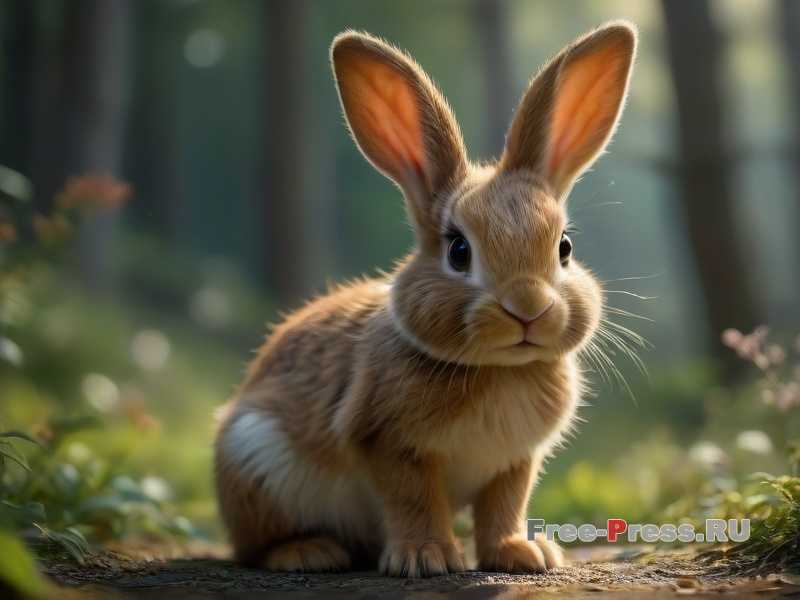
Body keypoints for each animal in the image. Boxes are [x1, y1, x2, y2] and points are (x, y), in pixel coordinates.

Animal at [214, 21, 637, 577]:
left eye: (564, 248)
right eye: (458, 251)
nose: (528, 307)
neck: (498, 370)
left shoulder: (514, 460)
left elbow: (505, 506)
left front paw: (522, 555)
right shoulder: (388, 444)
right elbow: (413, 500)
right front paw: (426, 557)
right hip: (255, 461)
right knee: (255, 546)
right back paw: (309, 553)